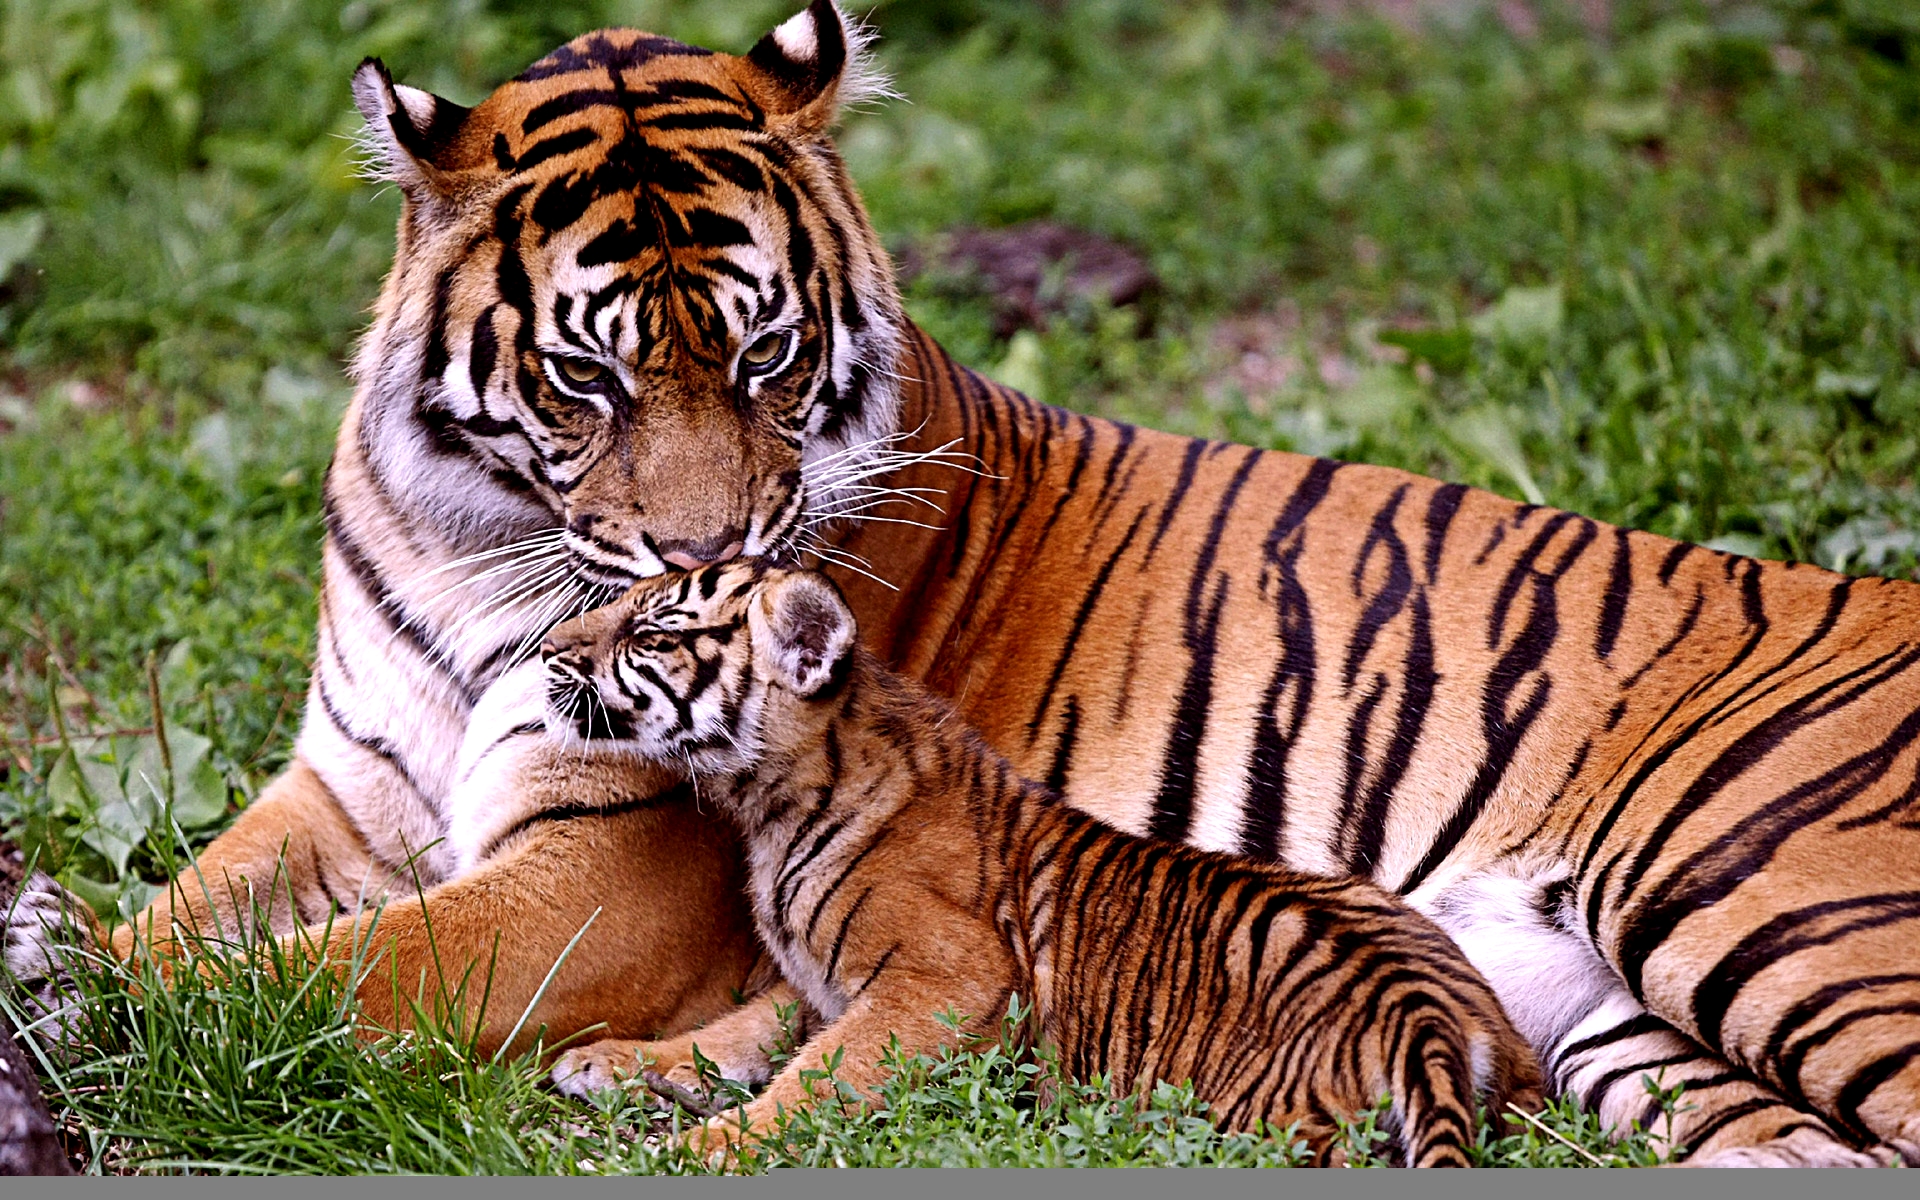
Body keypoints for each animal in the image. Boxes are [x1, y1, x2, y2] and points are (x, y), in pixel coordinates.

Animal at [7, 0, 1912, 1159]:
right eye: (587, 379)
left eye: (767, 356)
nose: (706, 564)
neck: (472, 548)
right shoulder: (344, 784)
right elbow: (198, 901)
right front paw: (69, 936)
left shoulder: (610, 869)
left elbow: (327, 970)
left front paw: (80, 995)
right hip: (1632, 1036)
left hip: (1770, 905)